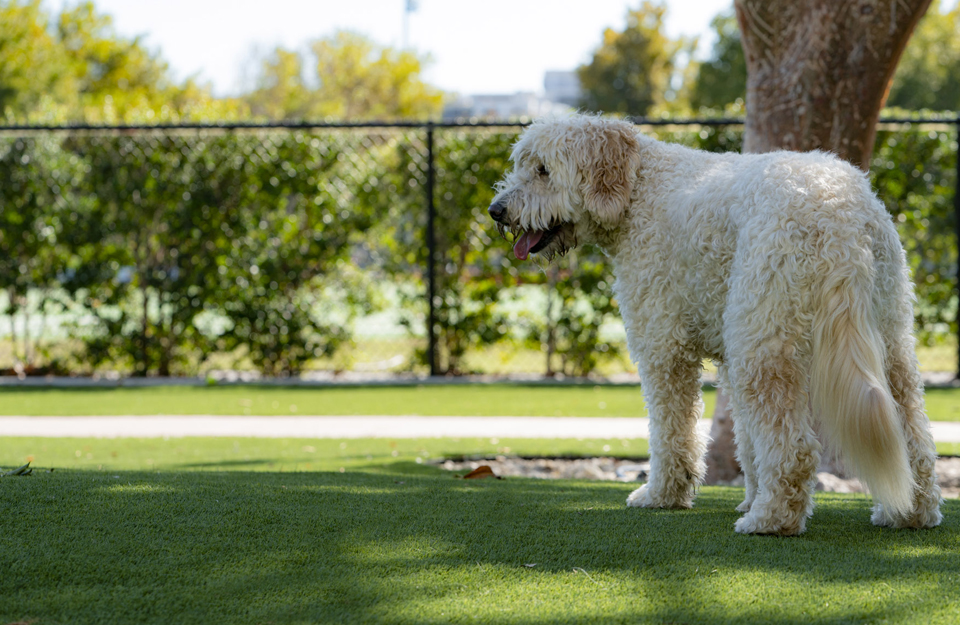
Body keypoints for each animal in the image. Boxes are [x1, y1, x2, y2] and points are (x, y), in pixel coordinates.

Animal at [492, 114, 940, 532]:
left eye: (543, 169)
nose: (496, 210)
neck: (640, 186)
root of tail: (840, 211)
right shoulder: (728, 357)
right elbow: (746, 441)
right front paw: (748, 494)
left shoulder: (664, 348)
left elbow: (671, 433)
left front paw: (661, 495)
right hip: (889, 339)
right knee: (913, 438)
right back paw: (909, 513)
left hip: (764, 346)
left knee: (794, 447)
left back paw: (770, 520)